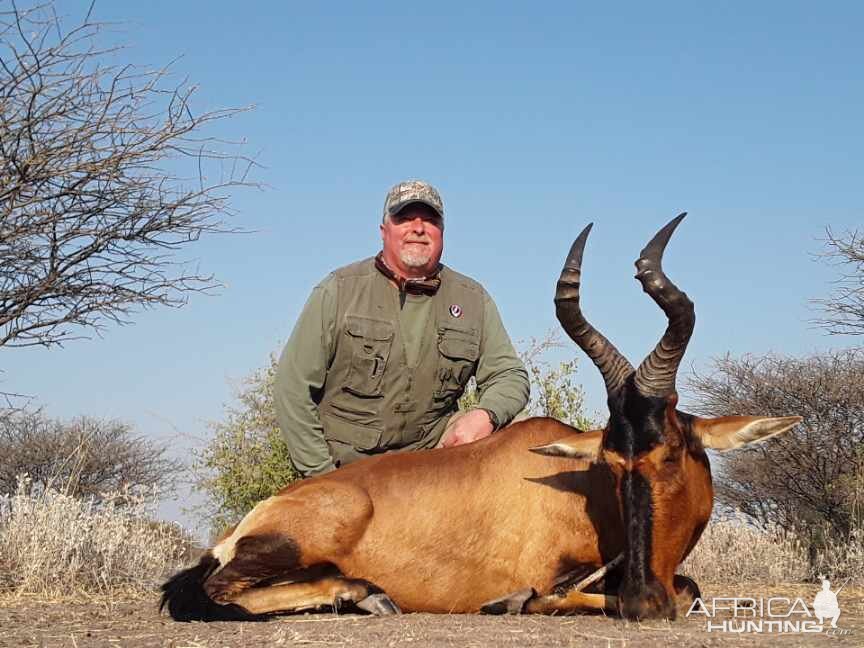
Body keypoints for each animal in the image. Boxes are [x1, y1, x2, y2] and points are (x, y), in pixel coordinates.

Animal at [164, 216, 804, 624]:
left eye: (669, 451)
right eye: (612, 461)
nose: (647, 603)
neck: (580, 493)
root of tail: (247, 520)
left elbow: (689, 589)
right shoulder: (559, 574)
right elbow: (565, 594)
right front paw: (511, 601)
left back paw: (364, 595)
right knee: (219, 589)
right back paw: (364, 594)